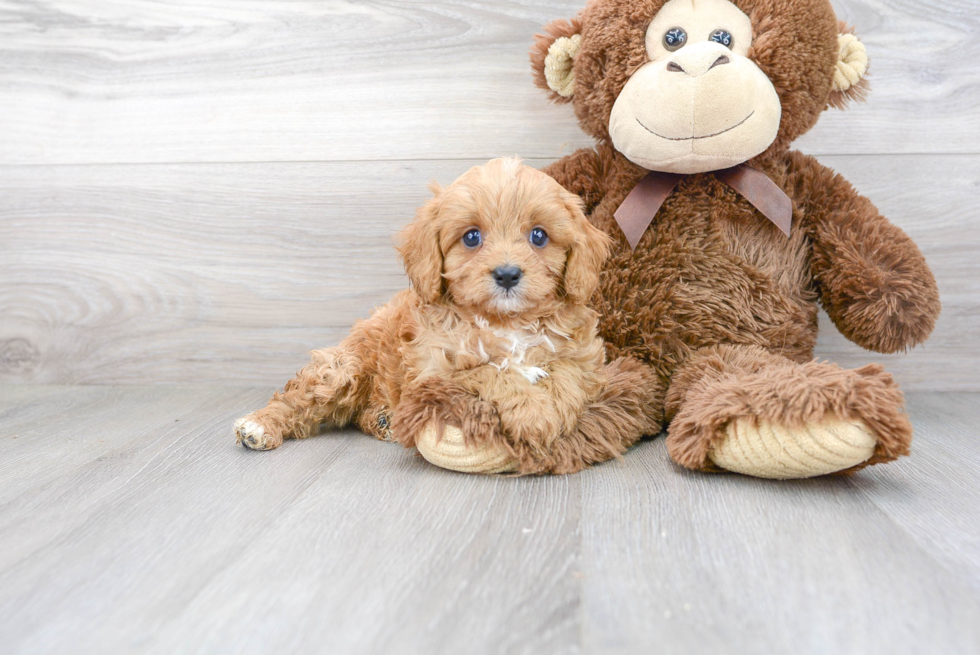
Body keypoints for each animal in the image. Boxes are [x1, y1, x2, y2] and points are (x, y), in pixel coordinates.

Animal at [233, 159, 660, 476]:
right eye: (471, 237)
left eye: (539, 236)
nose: (507, 274)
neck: (506, 322)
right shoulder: (435, 370)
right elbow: (489, 371)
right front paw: (531, 411)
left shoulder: (584, 355)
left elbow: (567, 373)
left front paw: (550, 409)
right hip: (343, 367)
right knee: (301, 397)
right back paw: (259, 425)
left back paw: (383, 419)